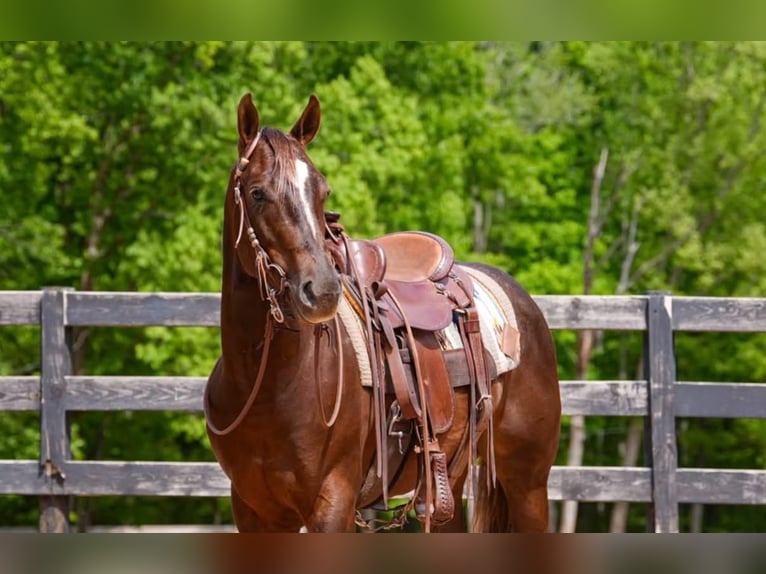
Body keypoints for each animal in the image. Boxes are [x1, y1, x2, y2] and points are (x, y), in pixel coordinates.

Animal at [204, 93, 561, 532]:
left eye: (323, 192)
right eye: (257, 193)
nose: (322, 290)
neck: (269, 384)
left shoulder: (332, 502)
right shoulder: (254, 509)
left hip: (528, 482)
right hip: (454, 479)